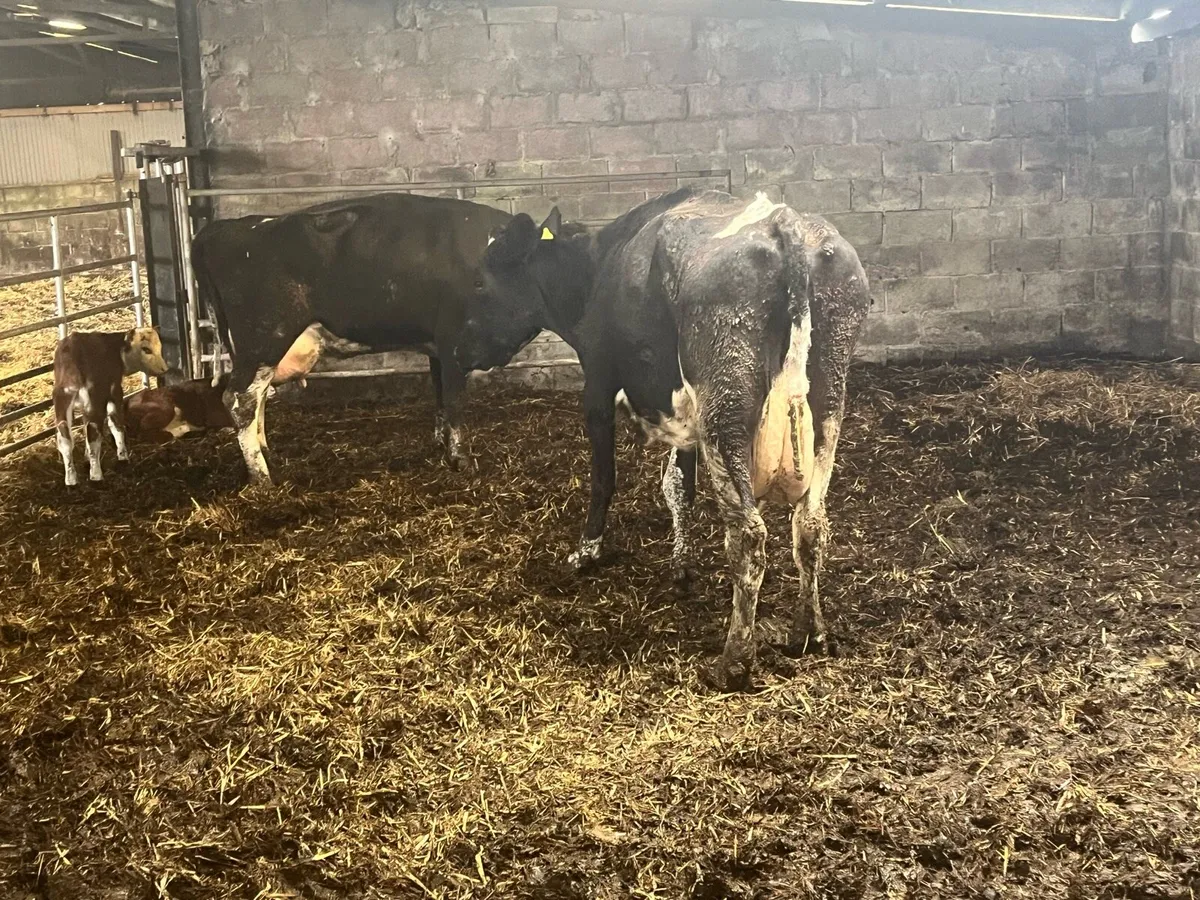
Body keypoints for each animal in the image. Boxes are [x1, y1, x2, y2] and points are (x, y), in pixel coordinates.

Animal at [52, 327, 170, 486]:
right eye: (146, 349)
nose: (164, 369)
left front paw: (86, 459)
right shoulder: (115, 392)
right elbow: (116, 425)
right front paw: (123, 456)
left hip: (62, 400)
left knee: (65, 435)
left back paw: (71, 480)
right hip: (94, 401)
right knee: (94, 433)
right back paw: (96, 476)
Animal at [191, 192, 513, 486]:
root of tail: (224, 228)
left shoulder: (438, 349)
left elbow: (441, 396)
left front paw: (442, 444)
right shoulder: (455, 343)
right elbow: (455, 401)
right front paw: (461, 458)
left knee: (258, 397)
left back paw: (268, 456)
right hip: (264, 338)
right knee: (240, 399)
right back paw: (262, 478)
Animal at [455, 188, 870, 690]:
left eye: (481, 285)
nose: (460, 352)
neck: (597, 268)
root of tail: (783, 222)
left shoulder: (597, 381)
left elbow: (604, 479)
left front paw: (586, 552)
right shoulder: (682, 417)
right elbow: (677, 486)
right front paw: (681, 564)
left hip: (723, 405)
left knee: (749, 536)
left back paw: (733, 662)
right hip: (829, 402)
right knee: (809, 524)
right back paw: (809, 633)